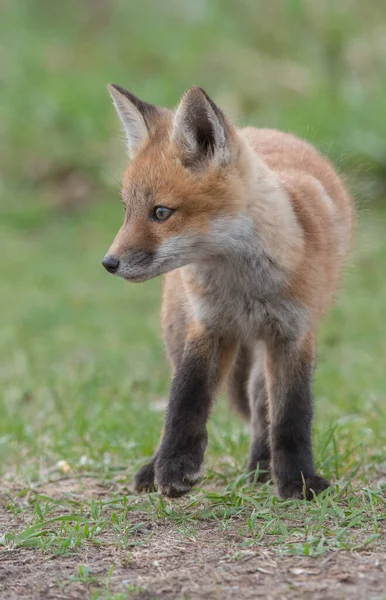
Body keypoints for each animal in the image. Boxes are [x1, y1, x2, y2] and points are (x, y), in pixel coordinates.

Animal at [103, 82, 356, 500]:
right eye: (127, 211)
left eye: (161, 213)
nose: (109, 263)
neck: (244, 289)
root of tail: (264, 131)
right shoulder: (210, 327)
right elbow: (184, 400)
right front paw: (174, 468)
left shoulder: (294, 334)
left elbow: (291, 413)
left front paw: (298, 480)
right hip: (177, 330)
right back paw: (157, 466)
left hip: (267, 349)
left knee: (261, 404)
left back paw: (261, 466)